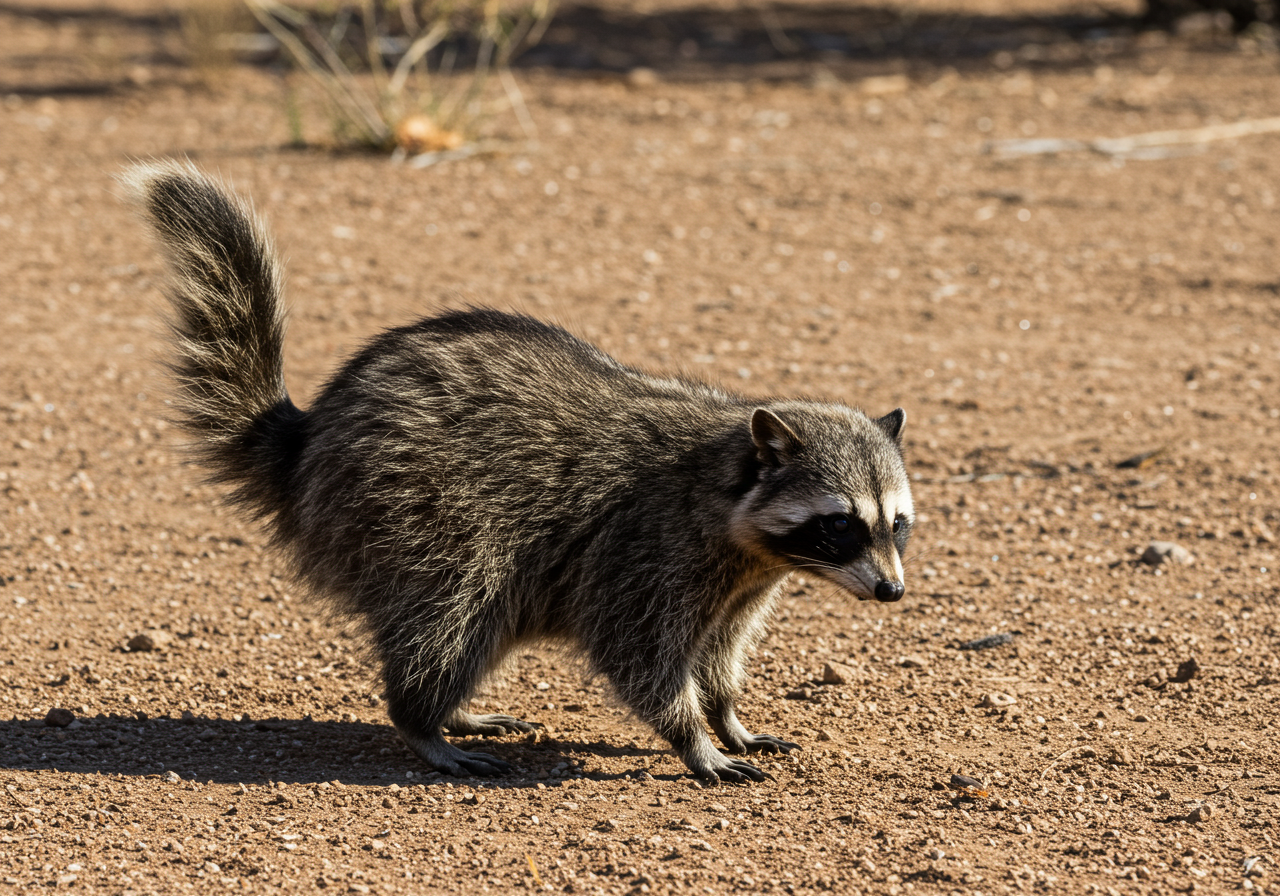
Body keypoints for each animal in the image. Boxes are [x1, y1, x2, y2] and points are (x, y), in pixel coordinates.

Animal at [123, 161, 915, 784]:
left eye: (896, 525)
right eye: (840, 525)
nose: (892, 592)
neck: (735, 506)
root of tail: (310, 436)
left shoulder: (739, 584)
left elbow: (719, 654)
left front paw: (727, 714)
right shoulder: (646, 547)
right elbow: (639, 653)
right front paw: (693, 736)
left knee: (477, 624)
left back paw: (454, 711)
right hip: (409, 507)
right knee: (448, 612)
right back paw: (421, 721)